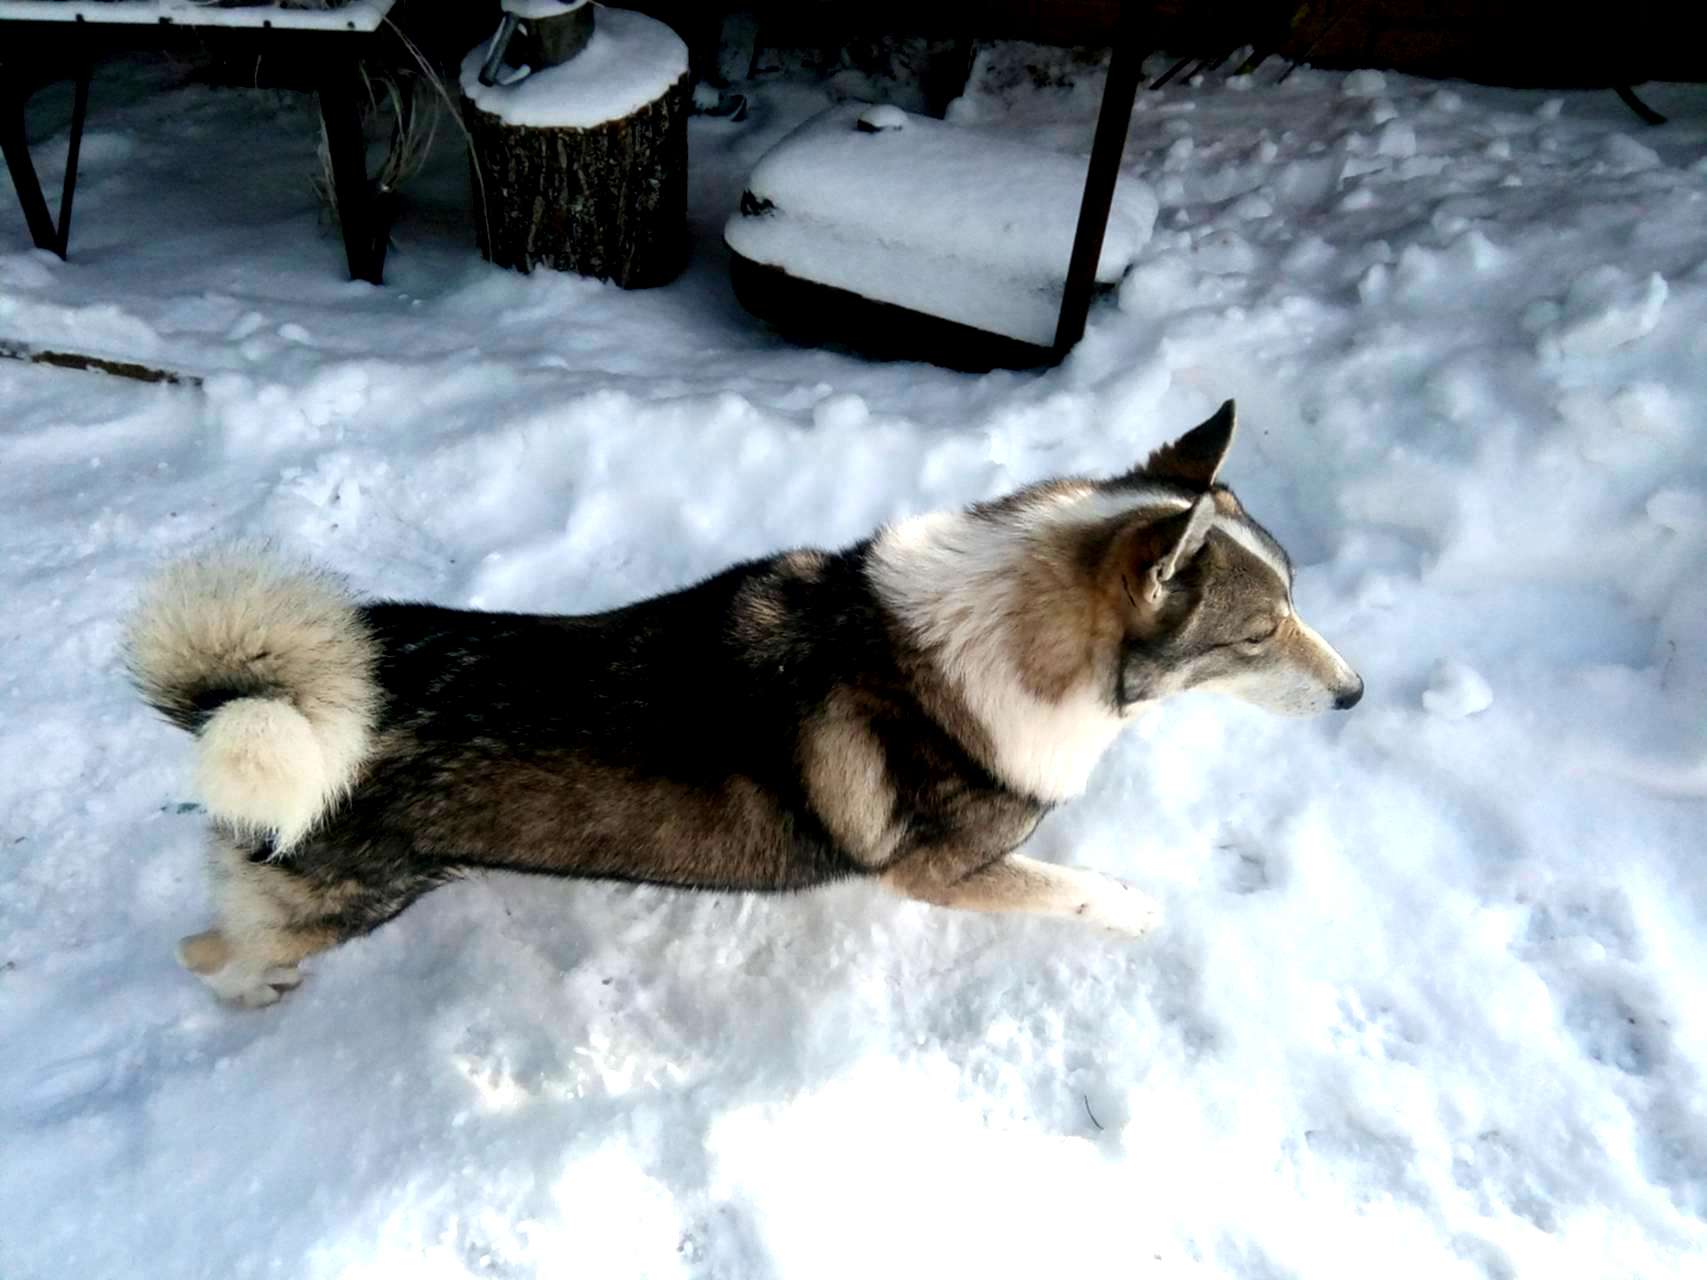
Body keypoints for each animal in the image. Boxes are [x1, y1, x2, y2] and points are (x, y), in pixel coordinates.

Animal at [123, 406, 1358, 1010]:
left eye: (1295, 599)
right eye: (1258, 632)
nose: (1355, 693)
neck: (1013, 642)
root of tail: (241, 698)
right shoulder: (941, 872)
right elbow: (1074, 886)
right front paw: (1137, 910)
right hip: (348, 903)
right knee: (202, 949)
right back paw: (252, 989)